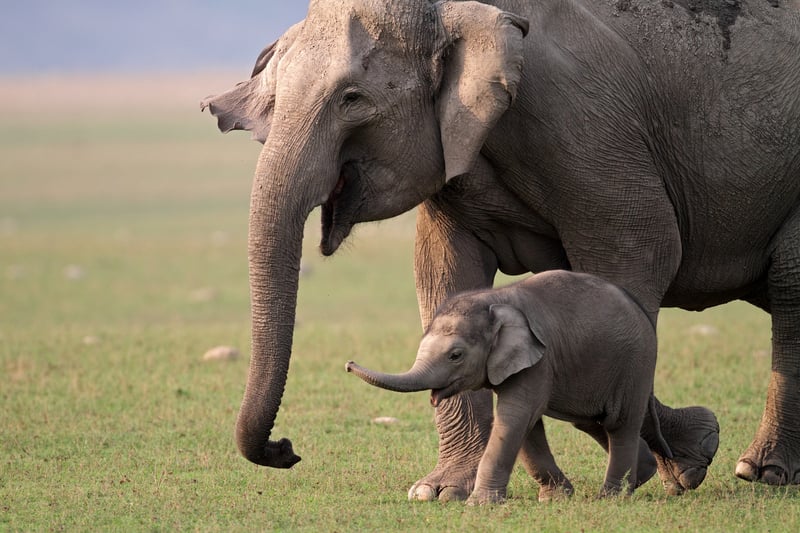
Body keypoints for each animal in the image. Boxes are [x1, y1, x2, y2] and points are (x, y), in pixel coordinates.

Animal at [346, 270, 674, 503]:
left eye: (456, 355)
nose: (348, 364)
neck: (494, 300)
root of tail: (643, 312)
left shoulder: (539, 360)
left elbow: (515, 416)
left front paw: (480, 504)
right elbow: (527, 425)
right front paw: (555, 499)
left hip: (636, 363)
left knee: (619, 424)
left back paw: (611, 497)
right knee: (590, 421)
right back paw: (642, 474)